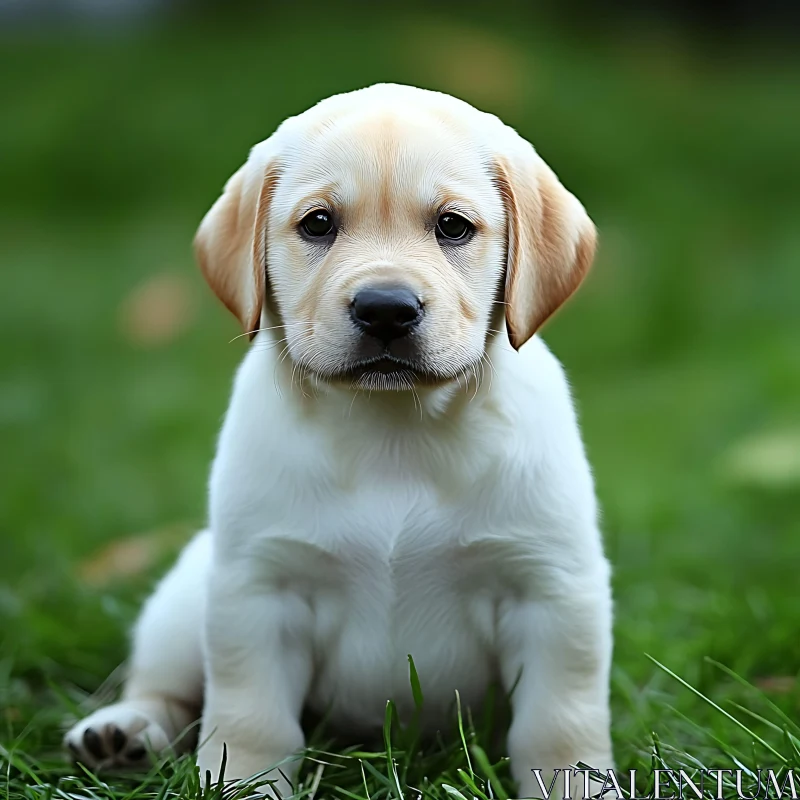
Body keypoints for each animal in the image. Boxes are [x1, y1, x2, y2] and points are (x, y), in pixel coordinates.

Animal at [64, 84, 612, 796]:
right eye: (318, 224)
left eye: (453, 226)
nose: (386, 309)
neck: (392, 433)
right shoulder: (259, 590)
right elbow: (249, 719)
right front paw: (246, 785)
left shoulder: (551, 591)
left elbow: (558, 723)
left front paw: (577, 784)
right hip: (186, 599)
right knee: (162, 687)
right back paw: (122, 732)